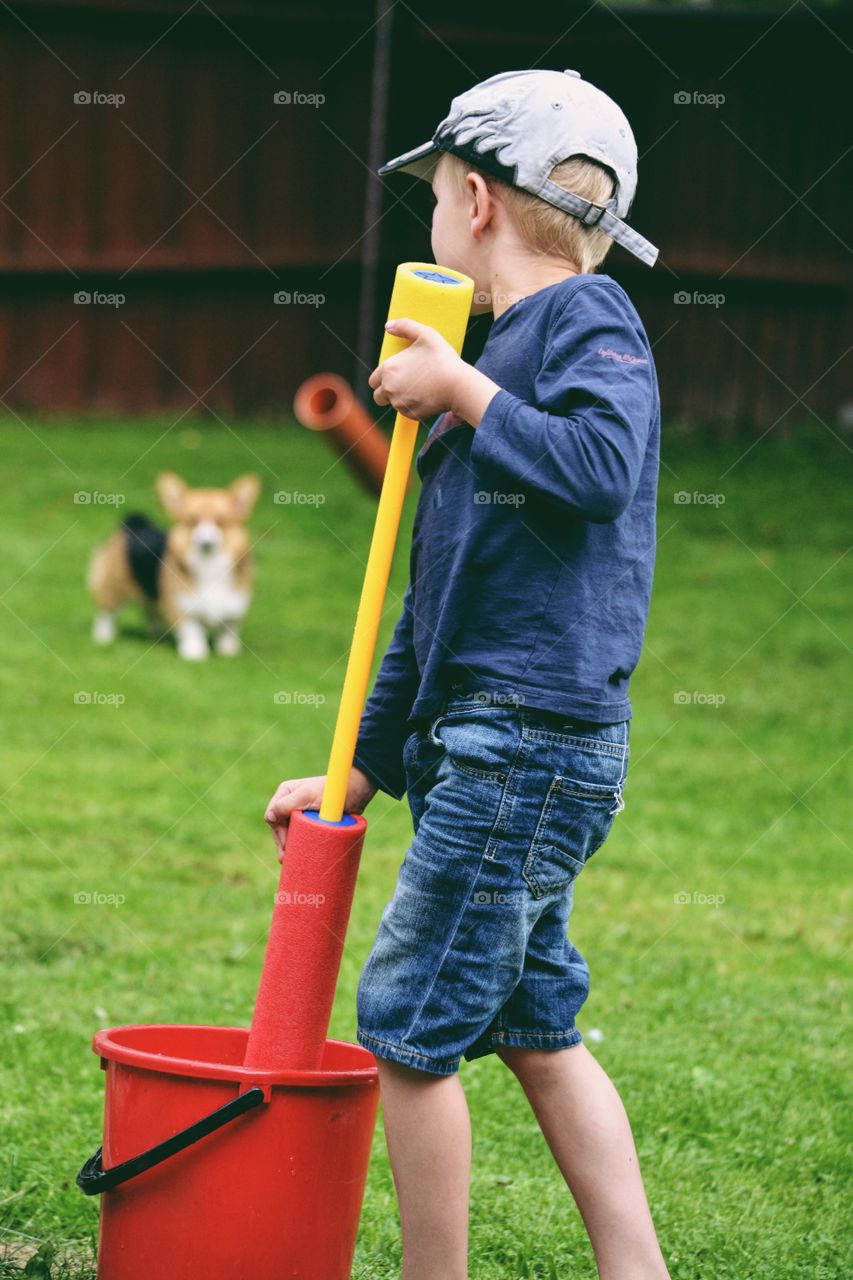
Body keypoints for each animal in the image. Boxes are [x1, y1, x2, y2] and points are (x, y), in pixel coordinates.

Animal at [87, 476, 261, 665]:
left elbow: (228, 635)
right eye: (193, 521)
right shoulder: (182, 609)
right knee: (107, 614)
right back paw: (104, 638)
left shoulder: (234, 611)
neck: (209, 565)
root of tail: (135, 525)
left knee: (150, 609)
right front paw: (195, 655)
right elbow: (193, 633)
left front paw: (228, 653)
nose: (205, 543)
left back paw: (155, 635)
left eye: (220, 522)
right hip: (113, 589)